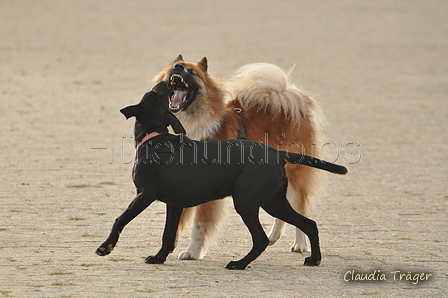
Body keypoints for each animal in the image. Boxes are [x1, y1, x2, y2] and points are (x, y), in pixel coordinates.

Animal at [95, 82, 346, 270]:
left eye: (155, 93)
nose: (165, 83)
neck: (155, 137)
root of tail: (277, 153)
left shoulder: (145, 195)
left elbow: (120, 219)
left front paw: (106, 247)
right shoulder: (174, 204)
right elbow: (168, 235)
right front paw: (158, 258)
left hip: (246, 202)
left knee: (261, 239)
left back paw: (239, 264)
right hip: (273, 201)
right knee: (309, 224)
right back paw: (314, 259)